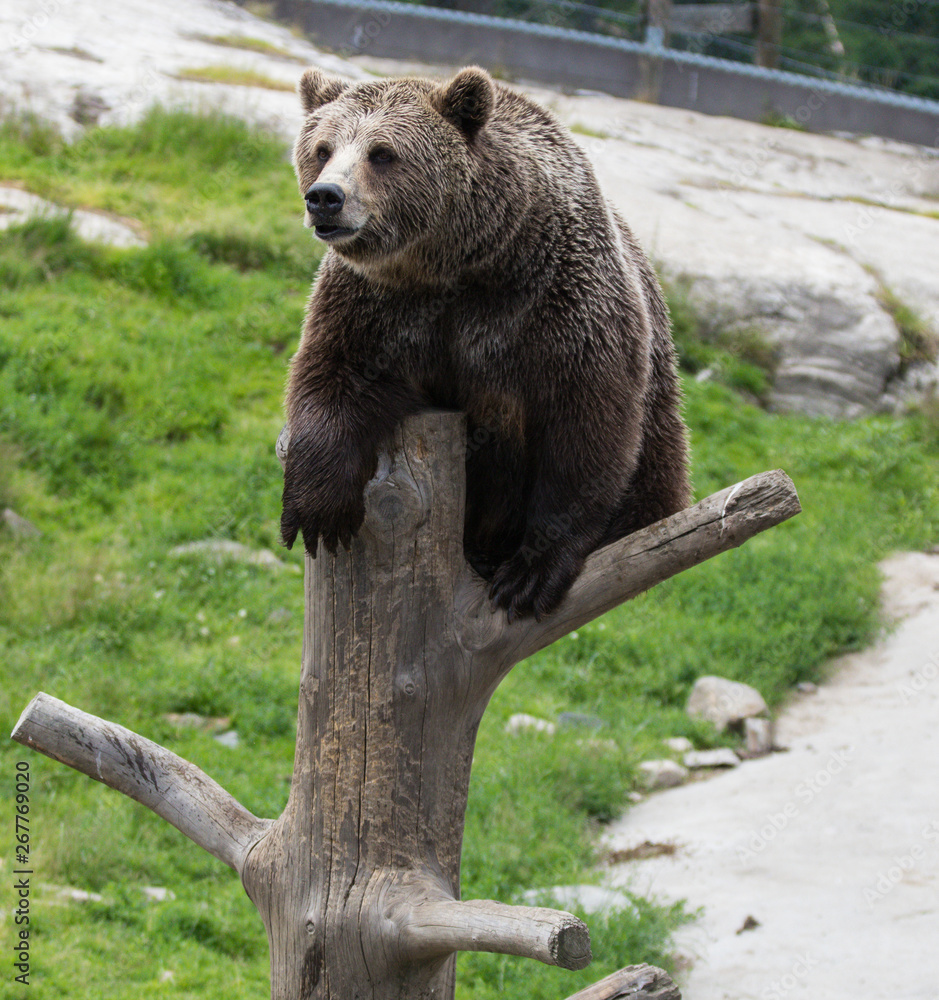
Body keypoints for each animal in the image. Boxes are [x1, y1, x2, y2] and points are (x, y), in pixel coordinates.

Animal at [280, 65, 691, 621]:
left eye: (382, 153)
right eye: (322, 148)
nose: (326, 197)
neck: (460, 263)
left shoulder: (560, 300)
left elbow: (586, 420)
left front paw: (531, 573)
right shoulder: (377, 304)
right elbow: (334, 373)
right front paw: (316, 507)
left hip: (663, 435)